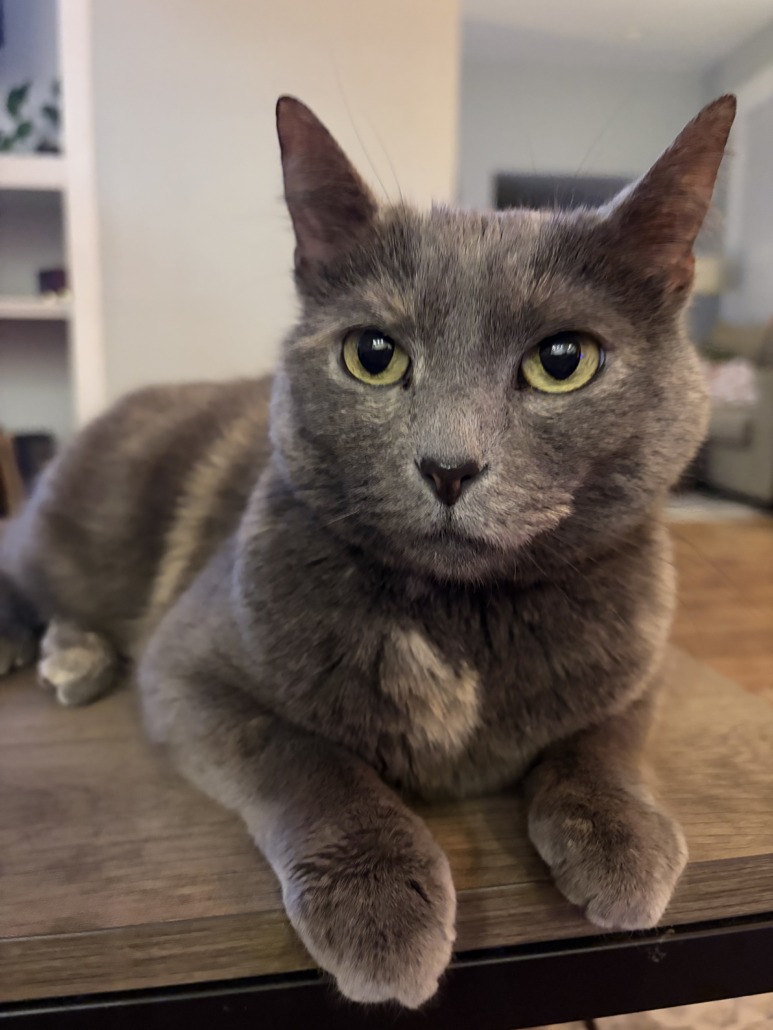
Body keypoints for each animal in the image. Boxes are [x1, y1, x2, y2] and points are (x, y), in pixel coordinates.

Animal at [0, 93, 735, 1008]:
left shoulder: (642, 656)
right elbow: (306, 755)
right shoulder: (188, 667)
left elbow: (605, 738)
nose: (448, 466)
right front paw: (379, 899)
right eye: (373, 355)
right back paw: (56, 652)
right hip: (67, 533)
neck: (460, 618)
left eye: (563, 360)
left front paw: (623, 837)